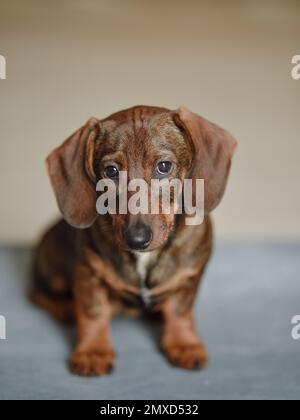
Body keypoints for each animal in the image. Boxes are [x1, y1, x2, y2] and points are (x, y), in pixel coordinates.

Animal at [32, 106, 237, 376]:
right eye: (111, 171)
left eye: (164, 166)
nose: (136, 239)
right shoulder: (88, 272)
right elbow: (93, 312)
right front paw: (93, 351)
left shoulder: (190, 276)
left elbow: (180, 311)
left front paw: (184, 344)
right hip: (52, 275)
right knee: (37, 294)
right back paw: (65, 309)